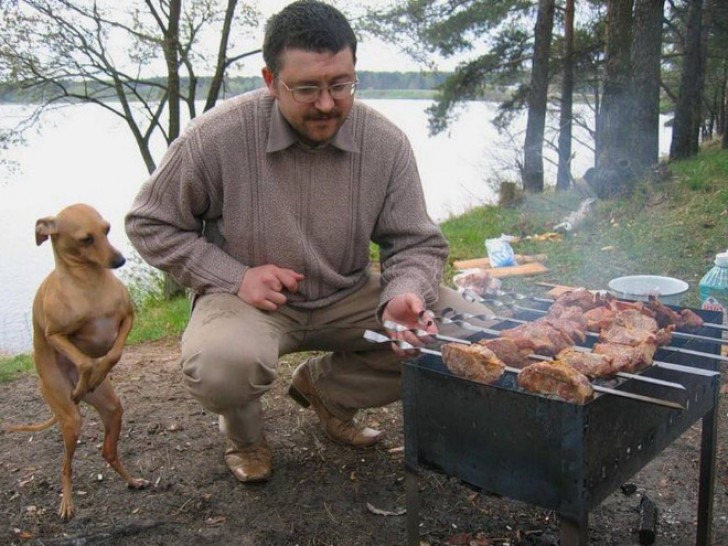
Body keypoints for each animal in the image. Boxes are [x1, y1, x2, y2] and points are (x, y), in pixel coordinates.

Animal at [5, 202, 151, 516]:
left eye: (107, 229)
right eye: (86, 239)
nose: (119, 260)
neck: (89, 286)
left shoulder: (128, 319)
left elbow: (114, 353)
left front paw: (99, 372)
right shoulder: (55, 335)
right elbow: (84, 360)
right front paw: (88, 376)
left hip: (112, 408)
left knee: (107, 452)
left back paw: (132, 480)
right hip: (69, 418)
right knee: (65, 467)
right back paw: (67, 503)